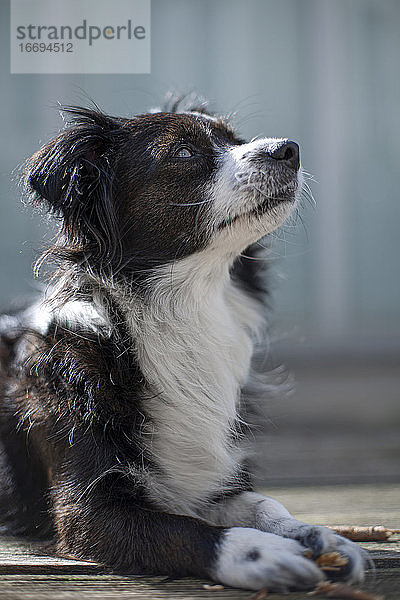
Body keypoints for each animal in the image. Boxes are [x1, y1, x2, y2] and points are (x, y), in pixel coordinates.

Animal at [0, 98, 368, 592]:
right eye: (184, 153)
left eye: (236, 139)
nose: (288, 149)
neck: (187, 308)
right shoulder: (87, 512)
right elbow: (183, 530)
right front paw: (260, 552)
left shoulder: (210, 478)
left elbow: (262, 504)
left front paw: (318, 534)